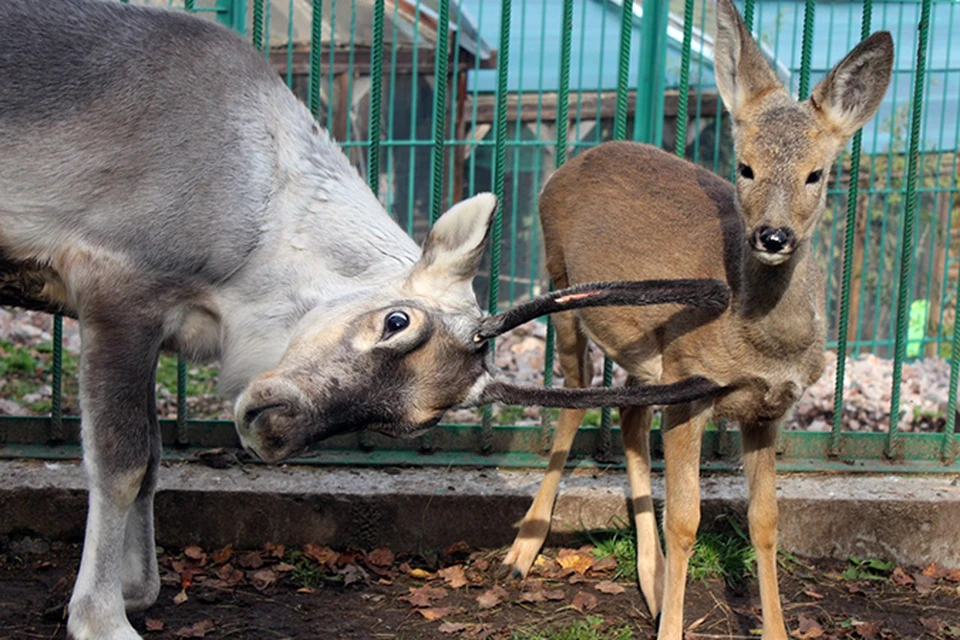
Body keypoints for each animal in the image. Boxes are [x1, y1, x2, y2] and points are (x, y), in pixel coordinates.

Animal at [502, 2, 892, 636]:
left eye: (816, 174)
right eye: (745, 166)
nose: (773, 236)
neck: (760, 341)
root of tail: (577, 158)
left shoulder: (767, 410)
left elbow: (765, 522)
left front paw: (774, 629)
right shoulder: (691, 383)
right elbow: (686, 520)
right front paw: (672, 627)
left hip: (642, 351)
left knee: (627, 414)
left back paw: (651, 579)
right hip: (559, 283)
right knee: (574, 398)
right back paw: (522, 551)